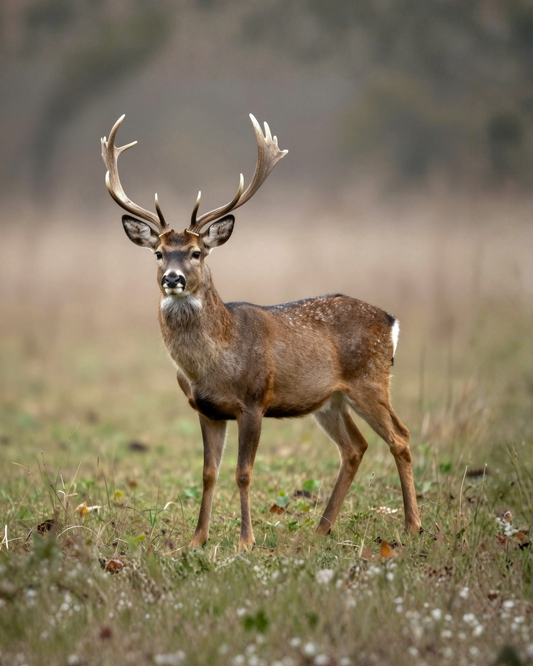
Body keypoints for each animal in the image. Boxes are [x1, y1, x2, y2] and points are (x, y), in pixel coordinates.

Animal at [101, 114, 421, 552]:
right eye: (159, 253)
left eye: (197, 253)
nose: (173, 278)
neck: (214, 361)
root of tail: (391, 321)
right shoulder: (205, 409)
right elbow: (208, 472)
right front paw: (197, 539)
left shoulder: (254, 400)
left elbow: (243, 473)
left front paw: (245, 541)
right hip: (331, 399)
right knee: (355, 447)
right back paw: (321, 529)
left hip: (371, 380)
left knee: (400, 437)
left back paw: (412, 526)